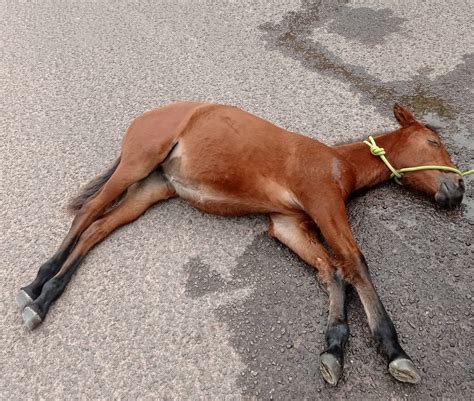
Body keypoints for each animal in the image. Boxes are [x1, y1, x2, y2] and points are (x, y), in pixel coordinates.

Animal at [17, 102, 466, 384]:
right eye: (433, 142)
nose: (458, 191)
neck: (338, 164)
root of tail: (149, 115)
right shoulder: (323, 203)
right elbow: (354, 263)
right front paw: (395, 351)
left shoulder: (288, 224)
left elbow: (331, 268)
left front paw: (334, 348)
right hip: (136, 164)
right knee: (88, 213)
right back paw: (35, 287)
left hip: (152, 188)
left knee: (99, 227)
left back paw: (45, 296)